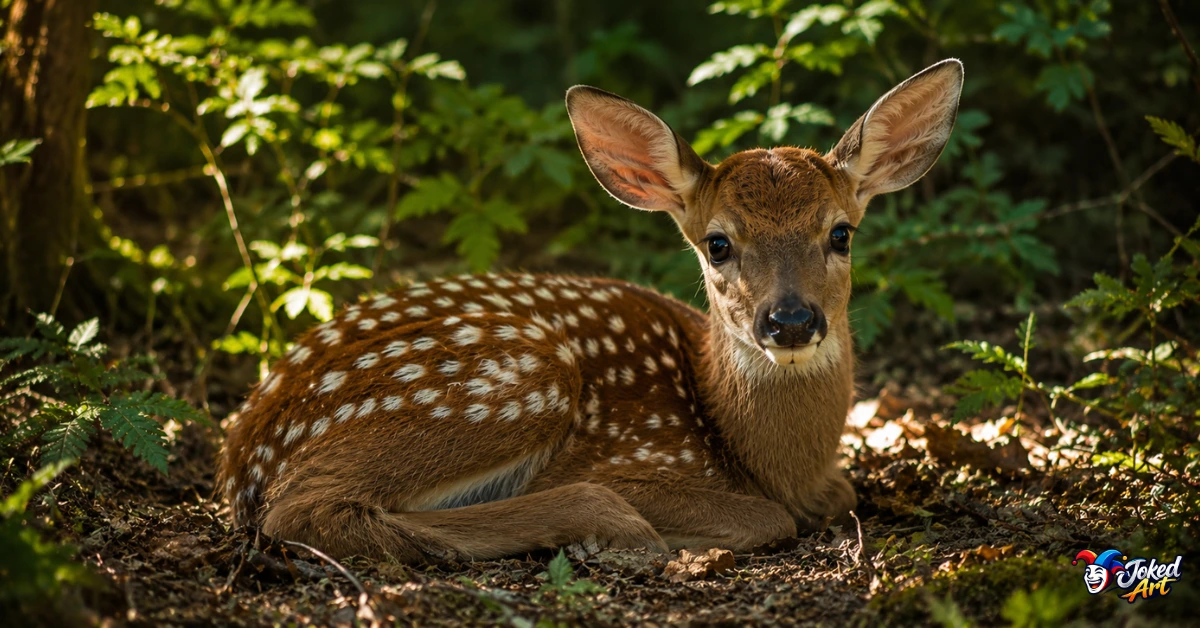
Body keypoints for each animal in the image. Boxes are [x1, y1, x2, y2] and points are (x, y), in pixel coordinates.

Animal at [217, 59, 963, 561]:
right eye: (718, 243)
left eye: (841, 233)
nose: (791, 322)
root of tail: (241, 459)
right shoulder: (628, 455)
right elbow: (768, 519)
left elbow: (843, 494)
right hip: (510, 381)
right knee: (303, 511)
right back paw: (613, 521)